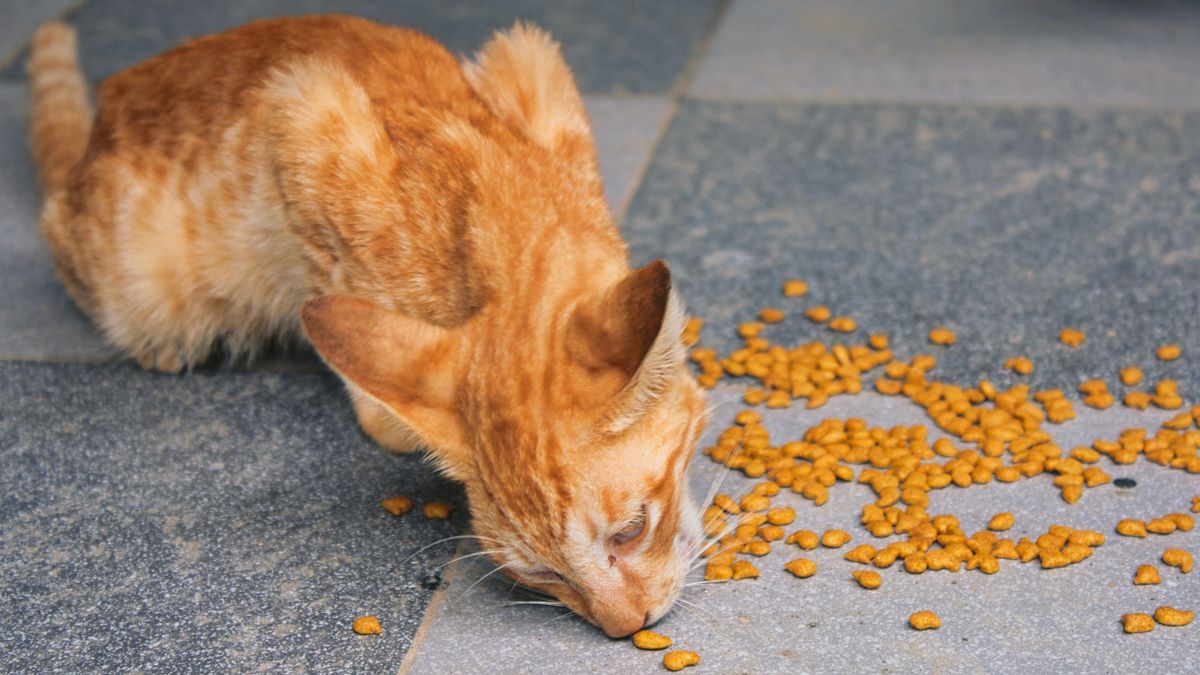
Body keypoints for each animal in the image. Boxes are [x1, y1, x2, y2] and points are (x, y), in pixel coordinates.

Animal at [28, 17, 710, 634]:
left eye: (631, 530)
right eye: (542, 574)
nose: (626, 627)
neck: (501, 198)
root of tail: (108, 104)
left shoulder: (526, 53)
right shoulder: (297, 116)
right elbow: (344, 325)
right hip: (135, 279)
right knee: (54, 223)